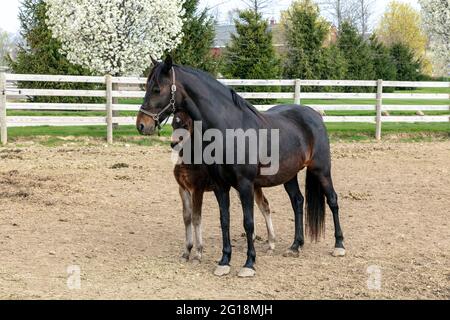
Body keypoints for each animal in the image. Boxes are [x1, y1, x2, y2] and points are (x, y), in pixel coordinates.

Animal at [171, 110, 276, 262]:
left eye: (185, 125)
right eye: (173, 124)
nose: (173, 144)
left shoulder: (197, 189)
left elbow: (196, 217)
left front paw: (198, 253)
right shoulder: (183, 189)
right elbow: (186, 217)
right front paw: (186, 252)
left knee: (263, 206)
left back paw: (271, 243)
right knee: (260, 206)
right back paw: (256, 238)